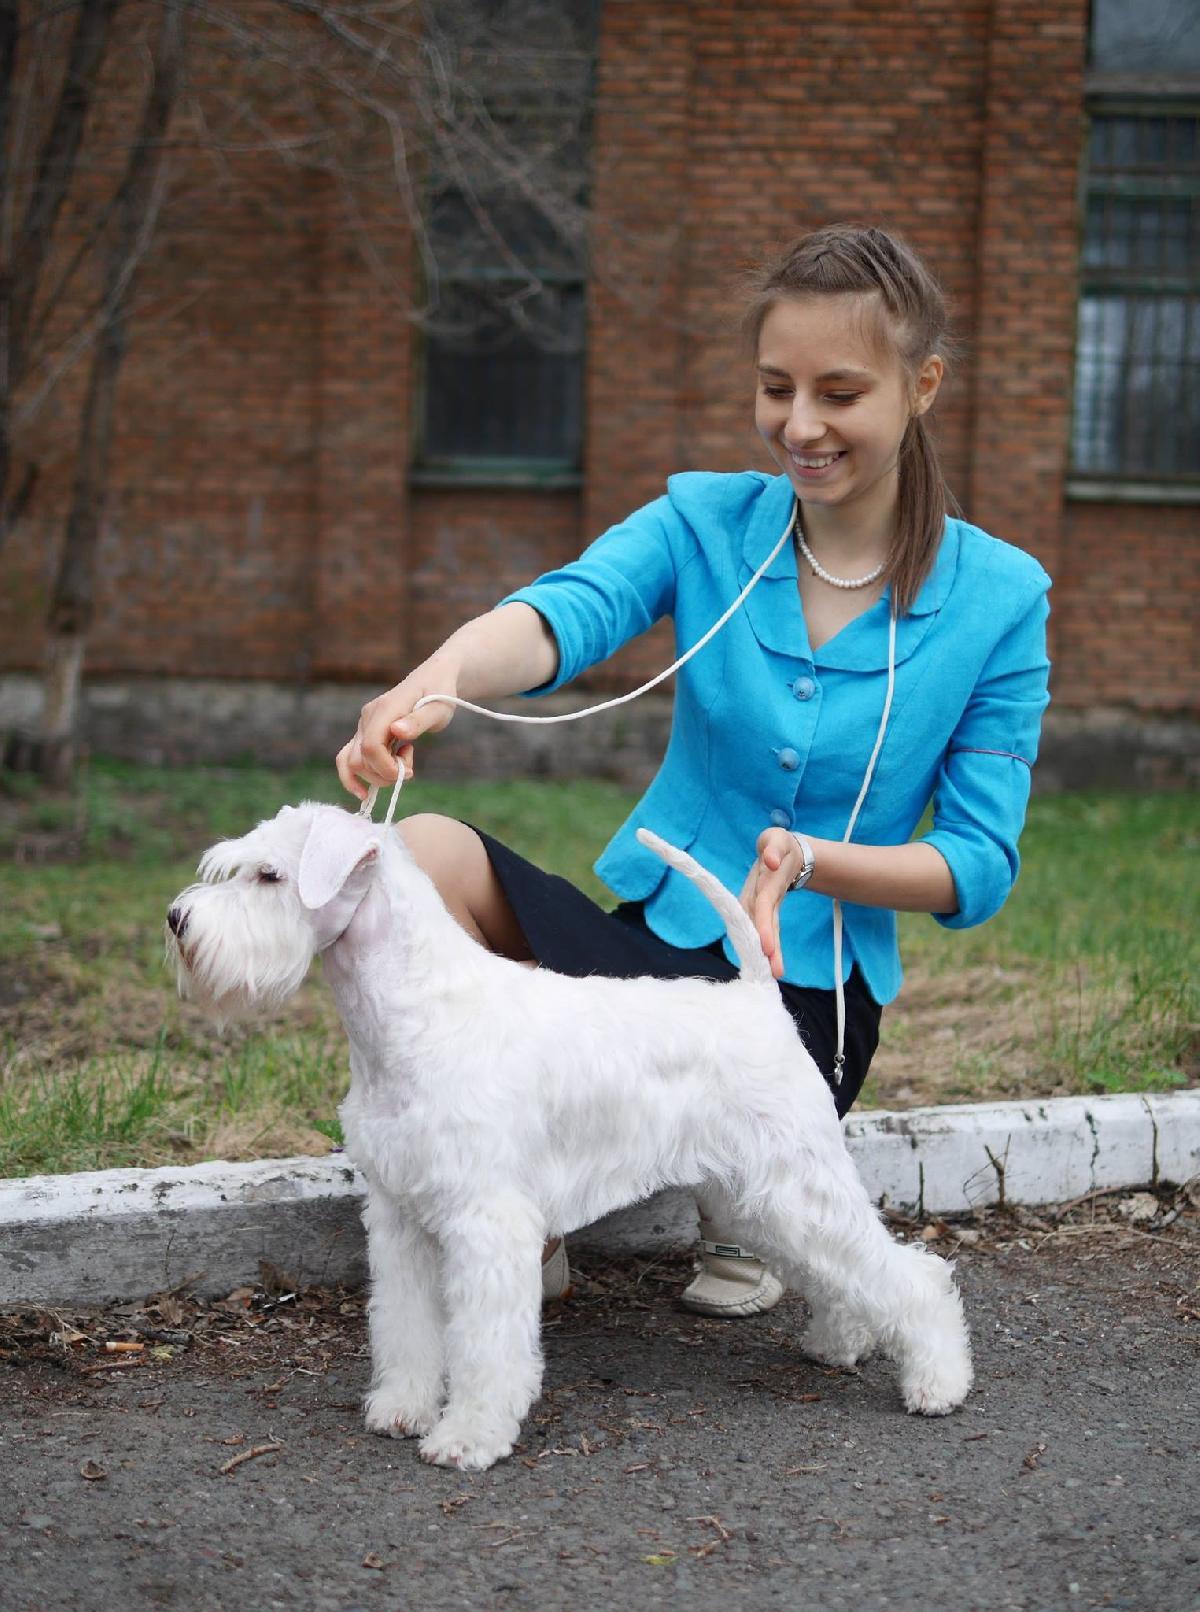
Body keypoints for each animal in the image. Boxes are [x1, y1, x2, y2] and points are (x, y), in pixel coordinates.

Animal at [166, 801, 972, 1471]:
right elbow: (405, 1326)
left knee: (913, 1275)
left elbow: (485, 1345)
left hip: (793, 1181)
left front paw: (467, 1437)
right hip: (758, 1198)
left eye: (271, 875)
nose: (177, 919)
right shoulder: (399, 1217)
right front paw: (401, 1408)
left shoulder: (486, 1221)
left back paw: (938, 1382)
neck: (412, 1010)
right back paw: (838, 1343)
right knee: (840, 1273)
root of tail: (757, 997)